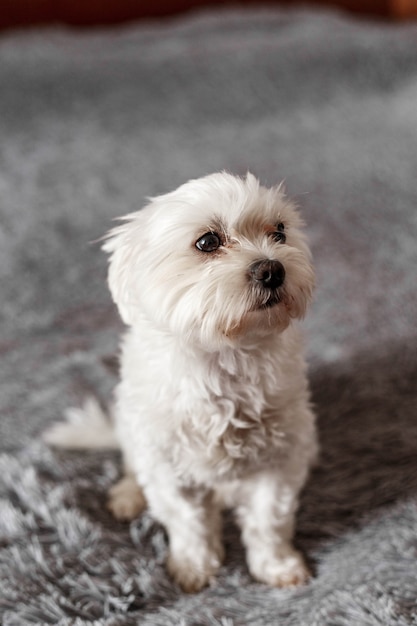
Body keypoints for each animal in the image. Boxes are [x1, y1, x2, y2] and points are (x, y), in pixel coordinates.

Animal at [44, 173, 316, 592]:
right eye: (208, 242)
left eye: (280, 232)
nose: (272, 269)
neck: (225, 357)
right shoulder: (168, 468)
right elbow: (190, 524)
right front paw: (193, 567)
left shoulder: (280, 462)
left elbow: (268, 520)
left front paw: (276, 565)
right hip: (133, 428)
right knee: (131, 463)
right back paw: (128, 494)